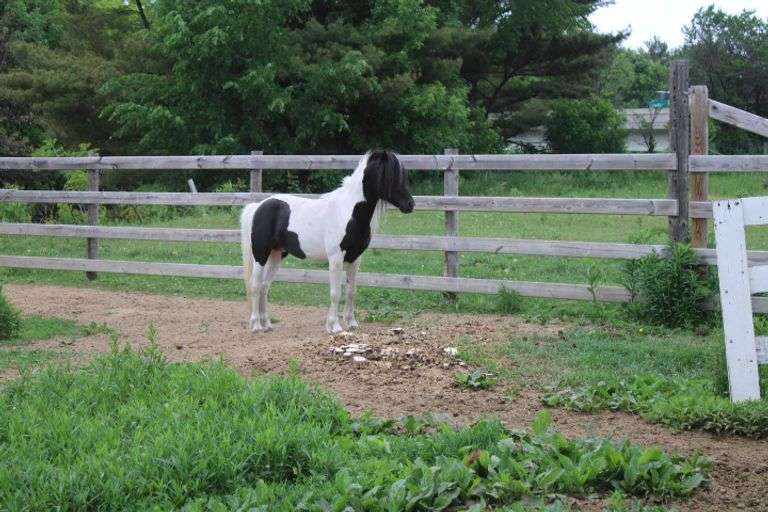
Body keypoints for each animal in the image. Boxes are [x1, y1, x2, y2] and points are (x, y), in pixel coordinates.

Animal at [240, 150, 415, 334]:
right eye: (389, 176)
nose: (410, 204)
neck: (348, 212)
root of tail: (258, 206)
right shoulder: (336, 258)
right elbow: (335, 292)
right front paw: (334, 326)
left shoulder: (355, 259)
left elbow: (351, 291)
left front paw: (351, 323)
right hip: (260, 255)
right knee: (255, 285)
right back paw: (256, 325)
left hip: (276, 255)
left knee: (265, 287)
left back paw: (266, 324)